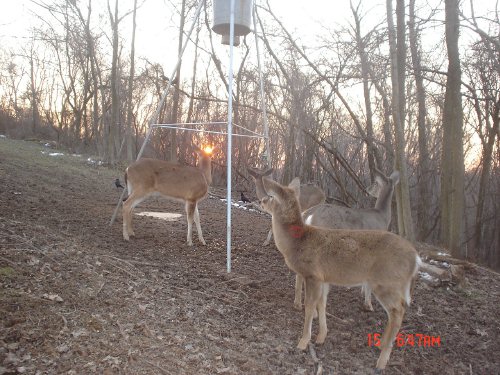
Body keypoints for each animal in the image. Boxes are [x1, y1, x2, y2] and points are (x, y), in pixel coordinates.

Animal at [294, 169, 400, 312]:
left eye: (375, 184)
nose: (367, 189)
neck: (382, 217)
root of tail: (308, 214)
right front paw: (369, 305)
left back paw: (297, 304)